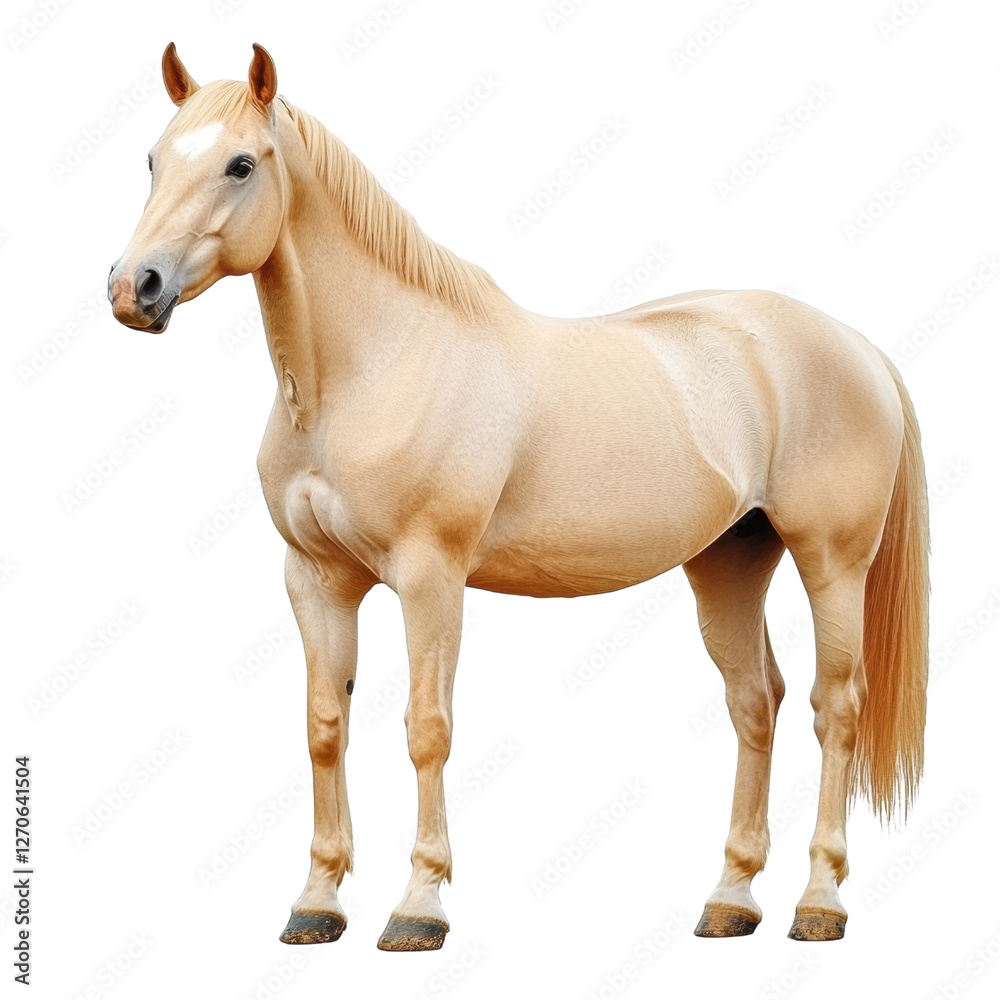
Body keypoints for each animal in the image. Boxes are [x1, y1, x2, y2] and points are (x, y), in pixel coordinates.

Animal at [108, 43, 929, 951]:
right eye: (153, 159)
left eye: (241, 164)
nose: (134, 288)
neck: (373, 367)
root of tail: (856, 346)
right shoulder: (315, 580)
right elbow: (326, 727)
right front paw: (316, 903)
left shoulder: (430, 578)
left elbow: (426, 730)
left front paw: (418, 907)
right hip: (730, 562)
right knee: (757, 703)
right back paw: (730, 899)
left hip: (833, 566)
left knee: (835, 709)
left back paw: (820, 901)